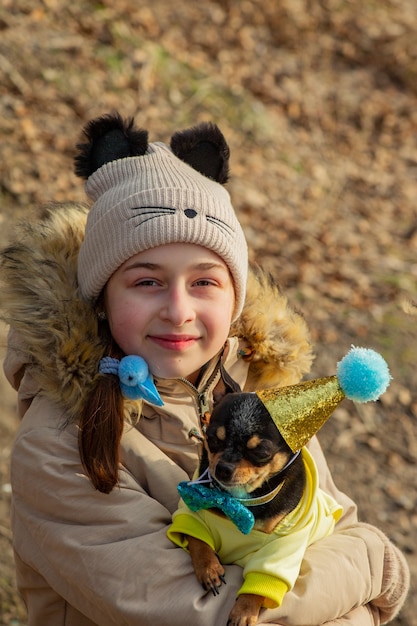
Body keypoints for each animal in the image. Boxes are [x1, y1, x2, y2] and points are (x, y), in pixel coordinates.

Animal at [185, 392, 306, 620]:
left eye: (260, 452)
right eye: (212, 439)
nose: (223, 468)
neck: (238, 501)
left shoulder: (279, 549)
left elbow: (261, 579)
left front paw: (245, 610)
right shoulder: (193, 511)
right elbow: (197, 540)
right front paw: (208, 569)